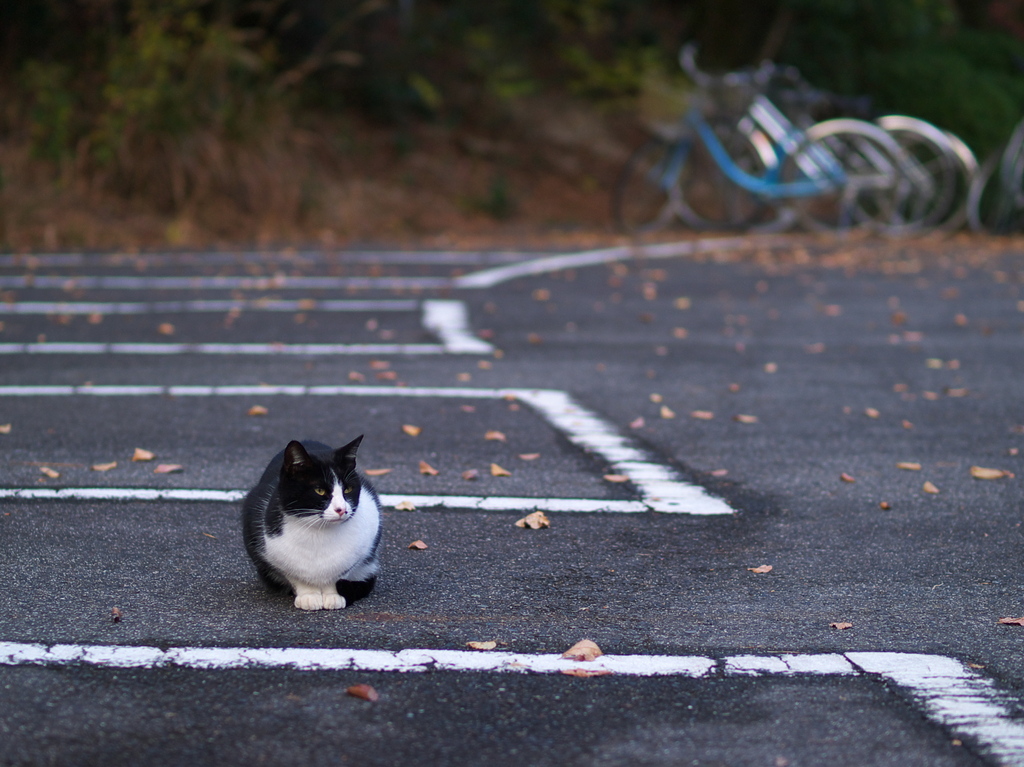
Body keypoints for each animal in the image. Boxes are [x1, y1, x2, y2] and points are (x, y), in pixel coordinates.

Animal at [241, 436, 382, 610]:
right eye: (320, 491)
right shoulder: (272, 552)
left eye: (348, 489)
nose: (342, 509)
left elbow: (337, 575)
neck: (318, 533)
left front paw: (333, 596)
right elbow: (295, 576)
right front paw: (309, 596)